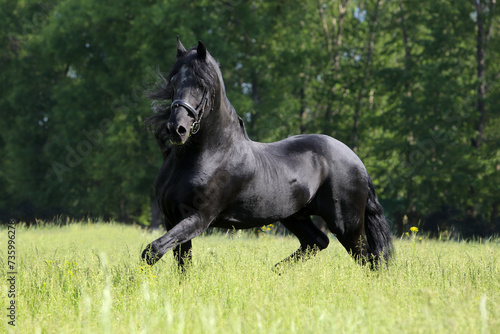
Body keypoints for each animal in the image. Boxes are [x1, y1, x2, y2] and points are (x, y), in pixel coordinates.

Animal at [141, 37, 390, 270]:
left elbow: (152, 251)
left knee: (370, 260)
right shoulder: (172, 217)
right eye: (174, 81)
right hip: (295, 216)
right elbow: (180, 264)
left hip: (347, 225)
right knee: (318, 241)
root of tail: (356, 160)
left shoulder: (198, 218)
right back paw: (275, 272)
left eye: (201, 84)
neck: (208, 155)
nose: (177, 129)